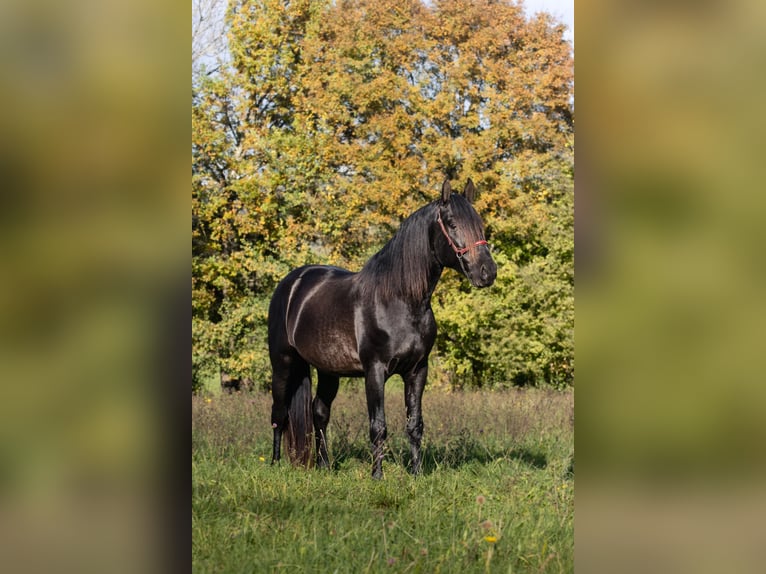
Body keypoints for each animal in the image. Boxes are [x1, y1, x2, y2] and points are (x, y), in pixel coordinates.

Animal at [268, 179, 498, 476]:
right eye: (452, 224)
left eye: (479, 225)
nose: (487, 272)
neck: (399, 301)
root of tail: (292, 283)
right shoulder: (375, 371)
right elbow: (378, 426)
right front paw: (377, 475)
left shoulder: (417, 371)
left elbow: (414, 425)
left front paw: (417, 473)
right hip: (283, 364)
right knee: (279, 414)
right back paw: (274, 463)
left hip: (328, 370)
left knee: (319, 412)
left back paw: (324, 465)